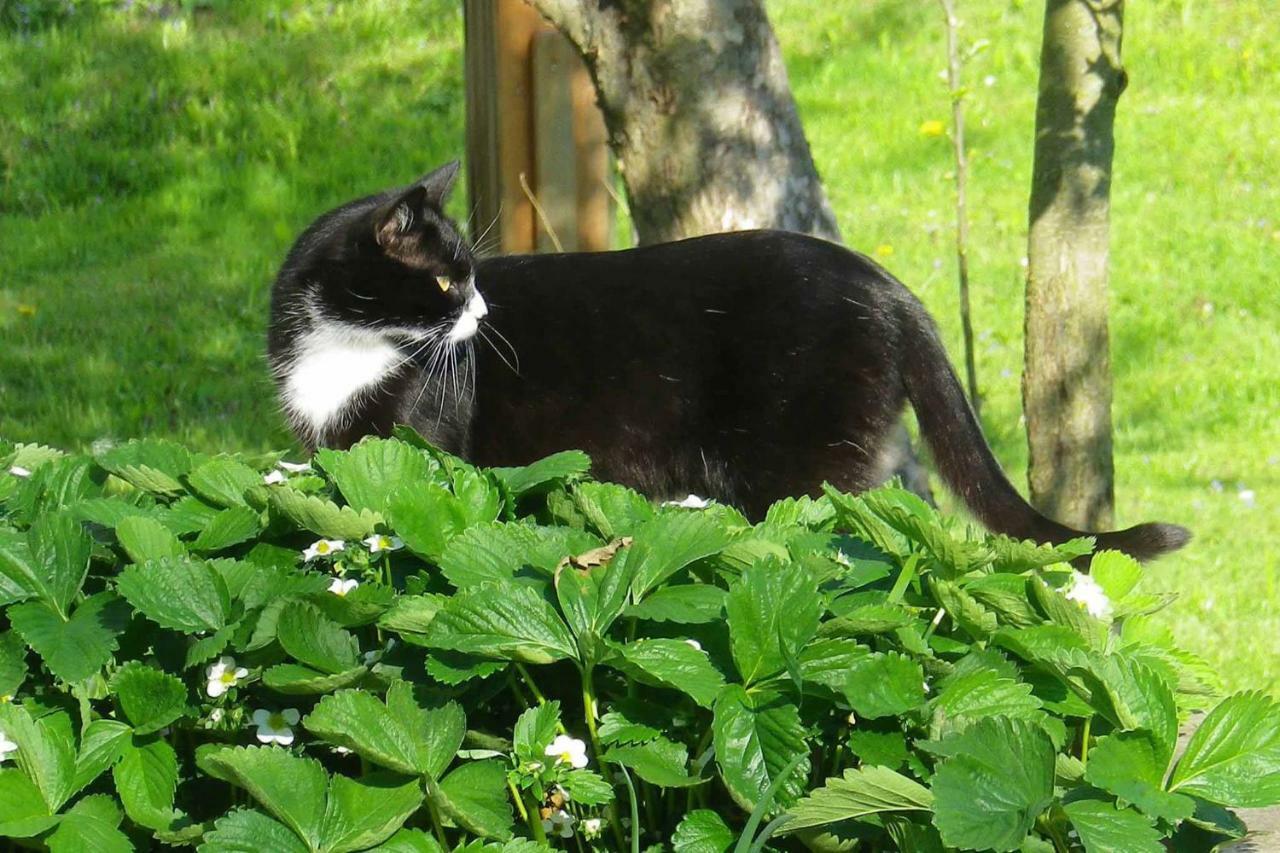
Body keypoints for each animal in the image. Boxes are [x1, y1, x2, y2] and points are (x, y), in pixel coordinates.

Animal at [267, 162, 1187, 560]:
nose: (485, 312)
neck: (343, 350)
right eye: (449, 278)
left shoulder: (420, 452)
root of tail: (890, 284)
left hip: (797, 458)